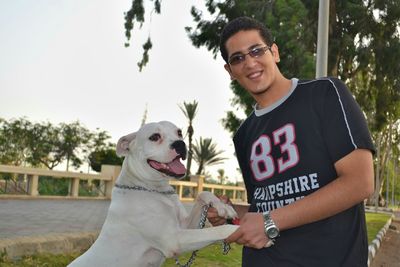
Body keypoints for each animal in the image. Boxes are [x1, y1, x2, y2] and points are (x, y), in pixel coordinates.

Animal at [68, 122, 238, 267]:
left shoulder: (184, 225)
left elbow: (203, 193)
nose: (180, 144)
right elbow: (219, 230)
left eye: (179, 133)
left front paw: (223, 207)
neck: (155, 189)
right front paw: (237, 229)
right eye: (154, 137)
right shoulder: (174, 239)